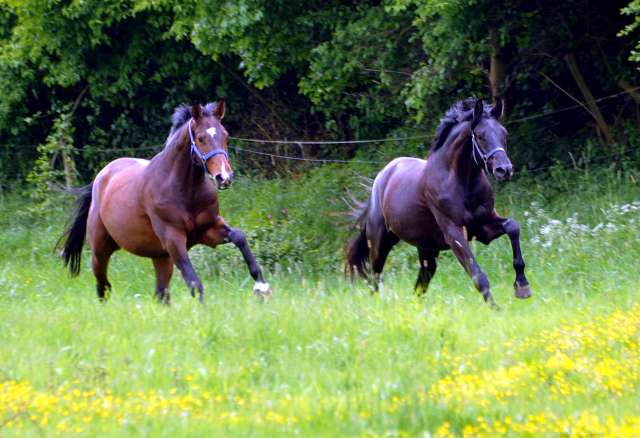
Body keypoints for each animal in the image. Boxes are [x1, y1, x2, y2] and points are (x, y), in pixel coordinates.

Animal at [55, 100, 272, 302]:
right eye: (201, 138)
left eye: (225, 135)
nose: (224, 177)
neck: (185, 189)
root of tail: (101, 176)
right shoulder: (173, 239)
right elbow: (195, 283)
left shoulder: (208, 229)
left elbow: (239, 237)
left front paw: (261, 287)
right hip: (100, 251)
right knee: (103, 287)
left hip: (160, 257)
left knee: (160, 295)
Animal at [344, 97, 528, 306]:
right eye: (480, 136)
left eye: (503, 133)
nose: (504, 170)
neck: (462, 183)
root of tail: (382, 177)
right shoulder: (455, 234)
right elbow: (478, 277)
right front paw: (496, 309)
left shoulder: (484, 228)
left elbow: (513, 227)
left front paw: (522, 285)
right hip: (380, 242)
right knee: (374, 277)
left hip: (427, 250)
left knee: (419, 285)